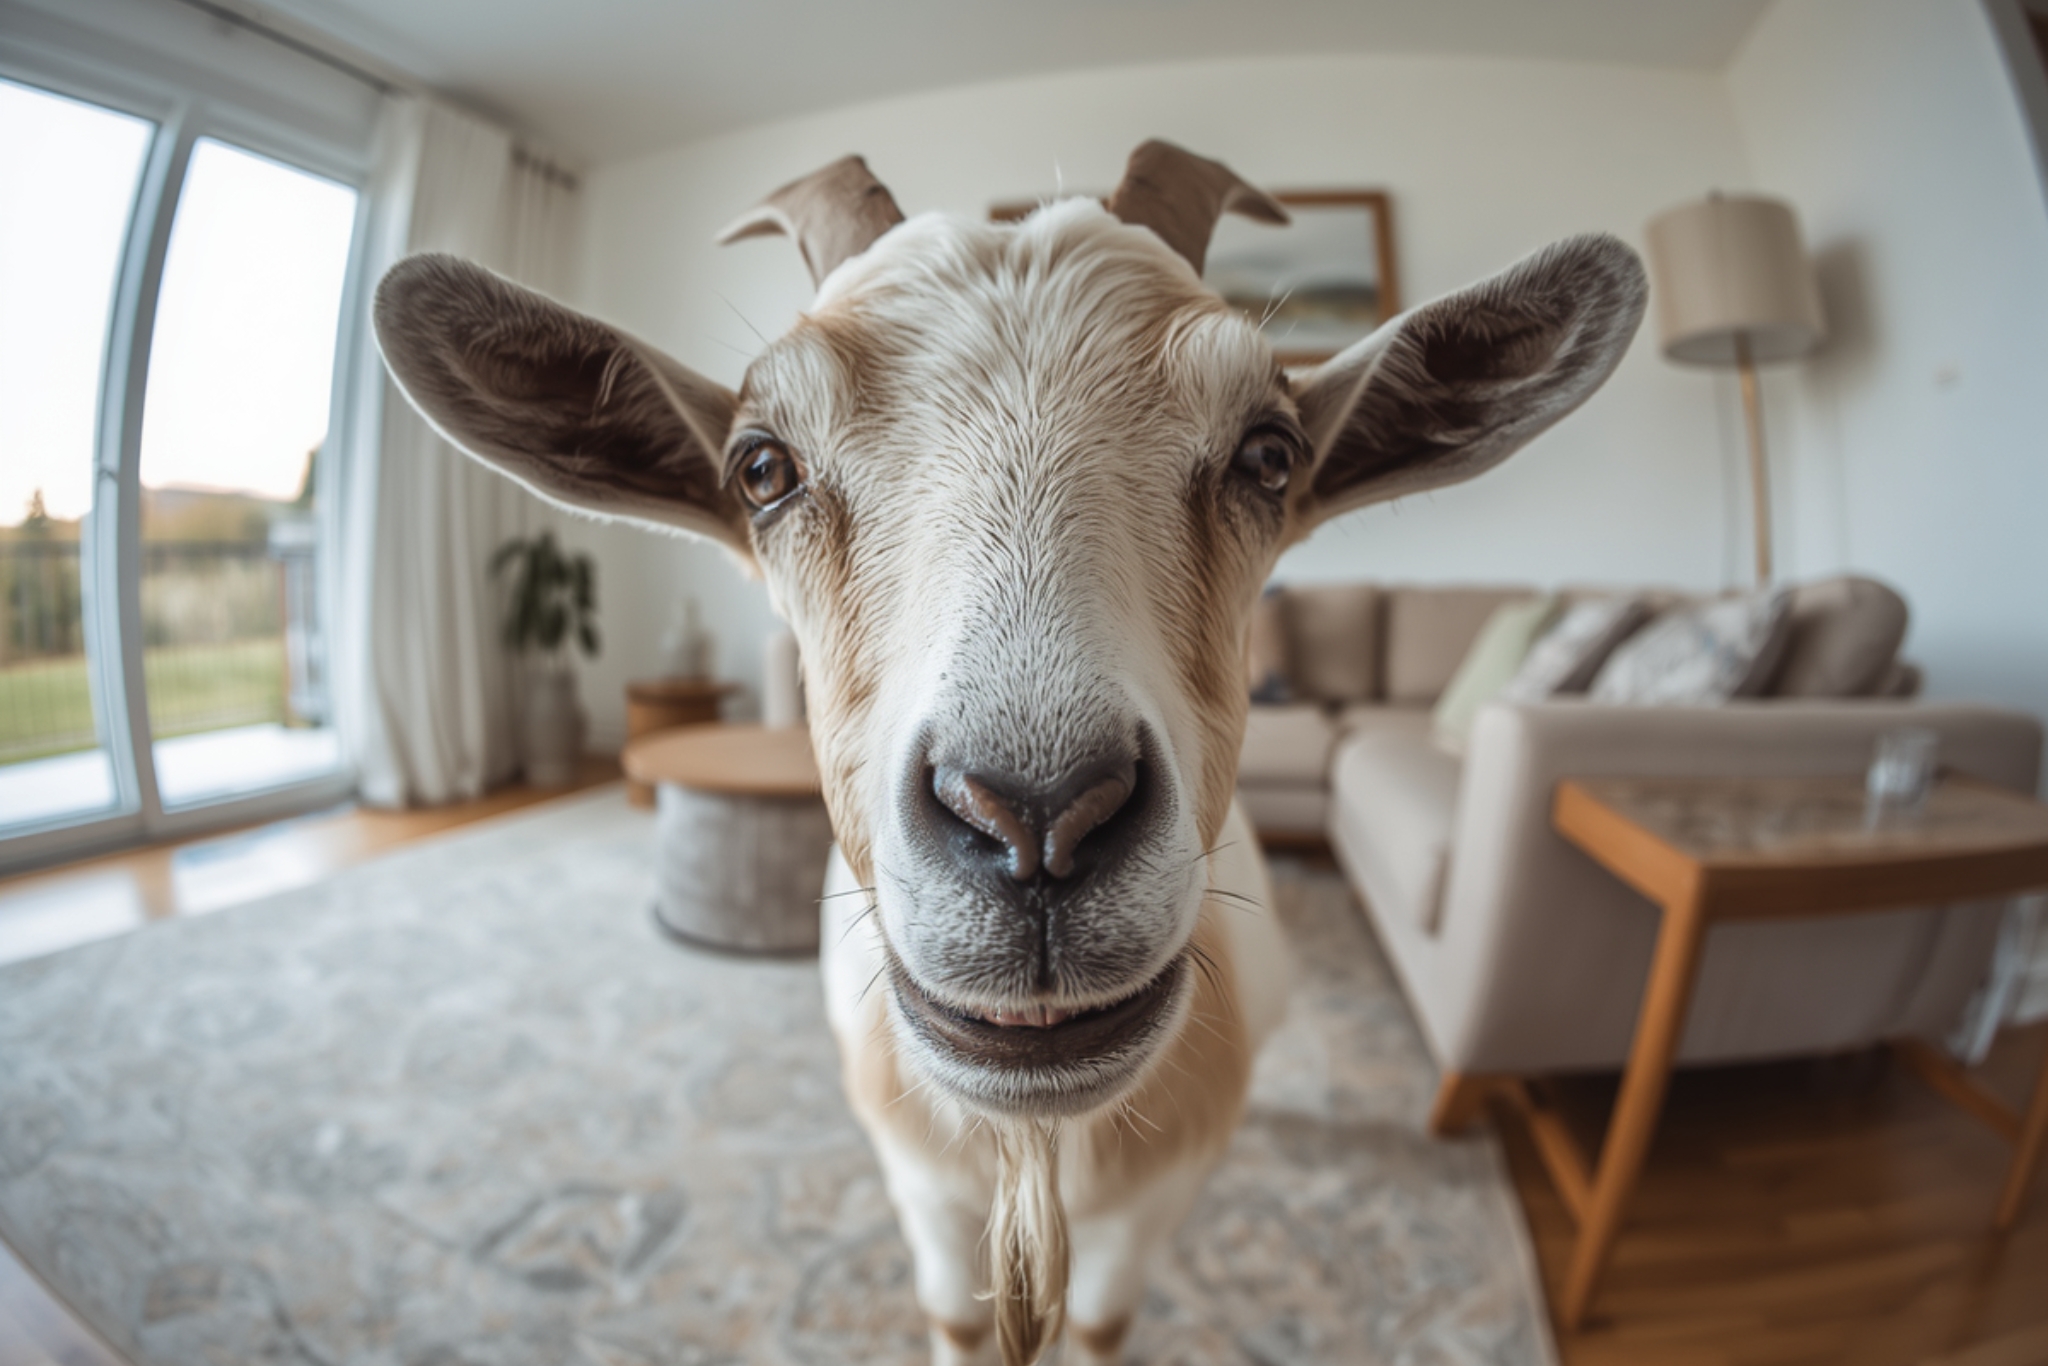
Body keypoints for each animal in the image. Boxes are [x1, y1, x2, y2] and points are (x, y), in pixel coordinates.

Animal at [373, 140, 1646, 1365]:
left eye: (1269, 452)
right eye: (762, 467)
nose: (1036, 820)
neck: (1038, 1146)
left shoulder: (1148, 1211)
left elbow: (1106, 1320)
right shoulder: (919, 1190)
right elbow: (949, 1315)